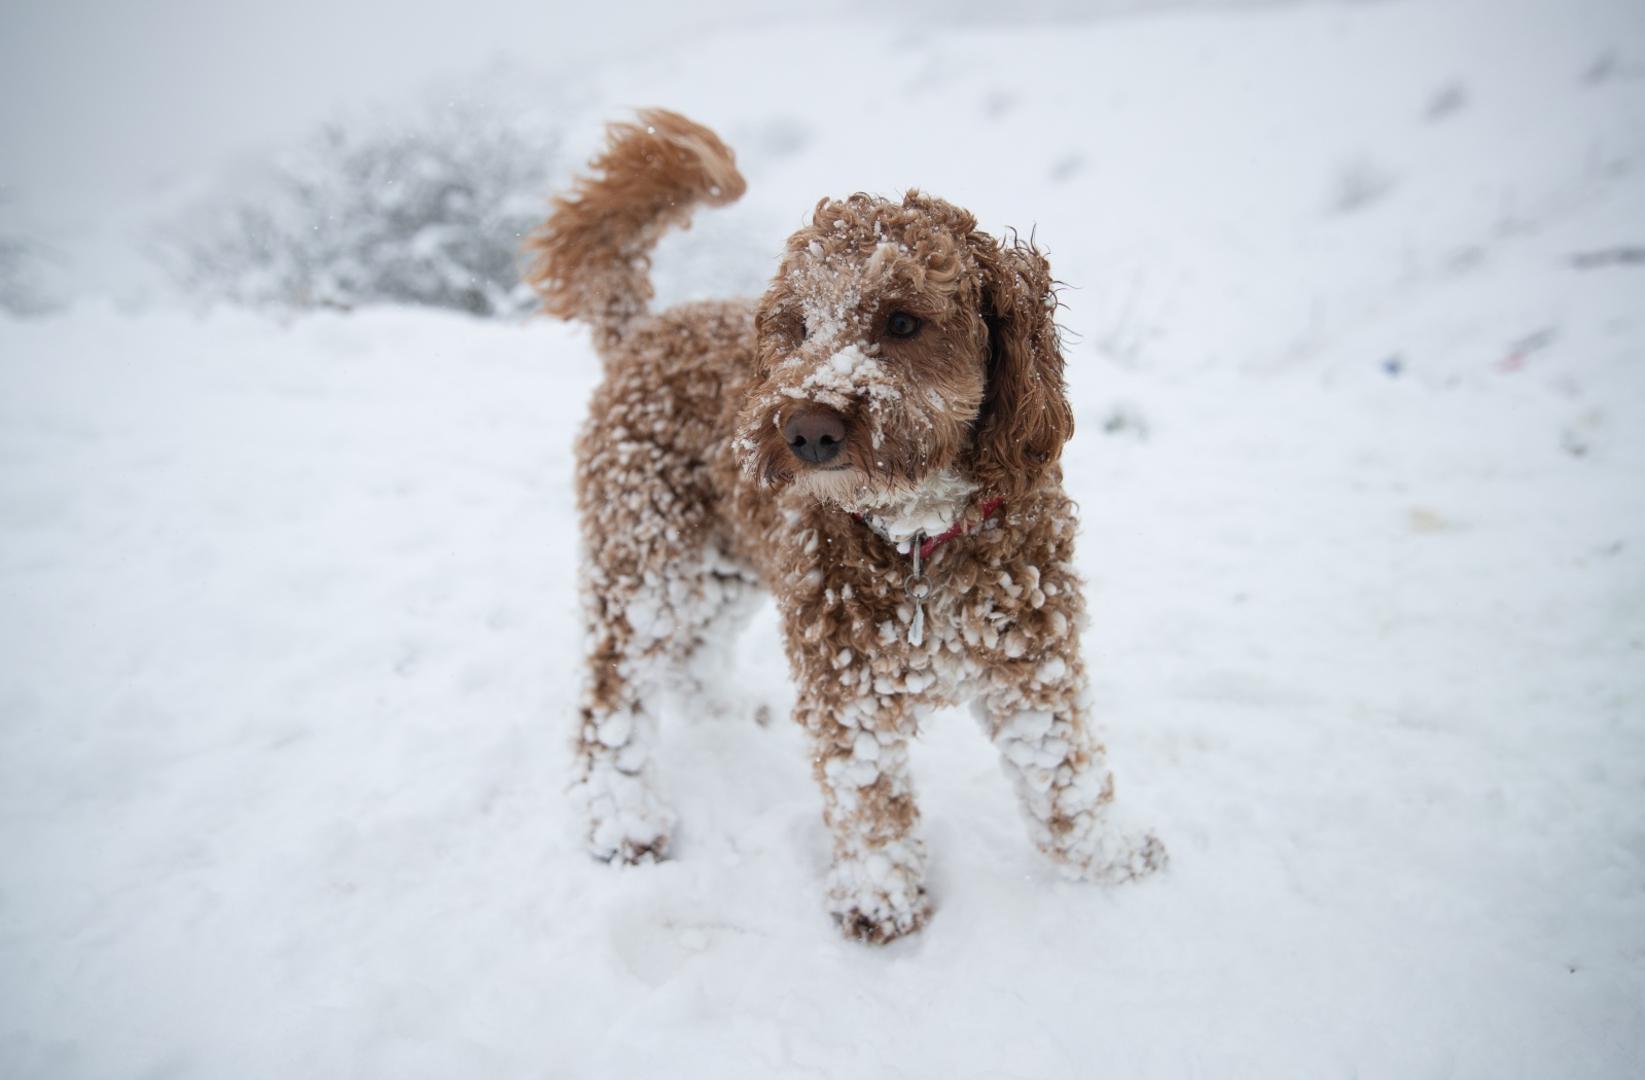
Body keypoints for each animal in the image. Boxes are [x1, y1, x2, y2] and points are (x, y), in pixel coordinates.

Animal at [529, 105, 1171, 940]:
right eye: (798, 327)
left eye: (901, 320)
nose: (807, 431)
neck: (919, 535)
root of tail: (640, 330)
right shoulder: (847, 683)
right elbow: (868, 800)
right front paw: (880, 902)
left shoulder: (1033, 660)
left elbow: (1064, 771)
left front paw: (1108, 858)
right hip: (647, 558)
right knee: (611, 694)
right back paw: (622, 820)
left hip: (725, 561)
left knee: (692, 651)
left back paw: (725, 711)